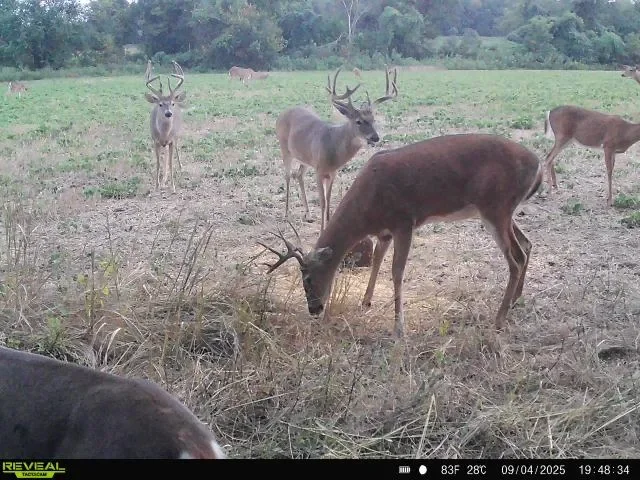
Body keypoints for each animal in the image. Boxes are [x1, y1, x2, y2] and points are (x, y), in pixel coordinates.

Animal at [145, 60, 186, 193]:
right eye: (160, 104)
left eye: (172, 103)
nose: (168, 113)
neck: (164, 134)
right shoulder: (155, 141)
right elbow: (158, 163)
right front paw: (156, 185)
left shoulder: (171, 140)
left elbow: (171, 163)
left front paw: (173, 187)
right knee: (165, 155)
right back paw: (164, 178)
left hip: (177, 135)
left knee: (176, 149)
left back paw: (180, 167)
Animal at [259, 133, 543, 338]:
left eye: (307, 278)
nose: (314, 309)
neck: (367, 208)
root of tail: (538, 164)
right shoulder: (384, 232)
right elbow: (377, 261)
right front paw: (366, 301)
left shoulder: (405, 221)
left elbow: (397, 272)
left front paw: (399, 328)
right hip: (503, 211)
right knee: (527, 244)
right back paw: (515, 300)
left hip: (495, 207)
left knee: (515, 258)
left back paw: (499, 319)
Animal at [276, 66, 398, 233]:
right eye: (358, 121)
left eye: (373, 120)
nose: (375, 137)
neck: (333, 147)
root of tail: (282, 113)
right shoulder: (319, 170)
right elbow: (322, 202)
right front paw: (321, 231)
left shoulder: (332, 172)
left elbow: (328, 201)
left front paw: (327, 225)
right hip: (285, 149)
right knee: (287, 175)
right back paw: (287, 214)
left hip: (305, 158)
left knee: (298, 175)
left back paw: (308, 214)